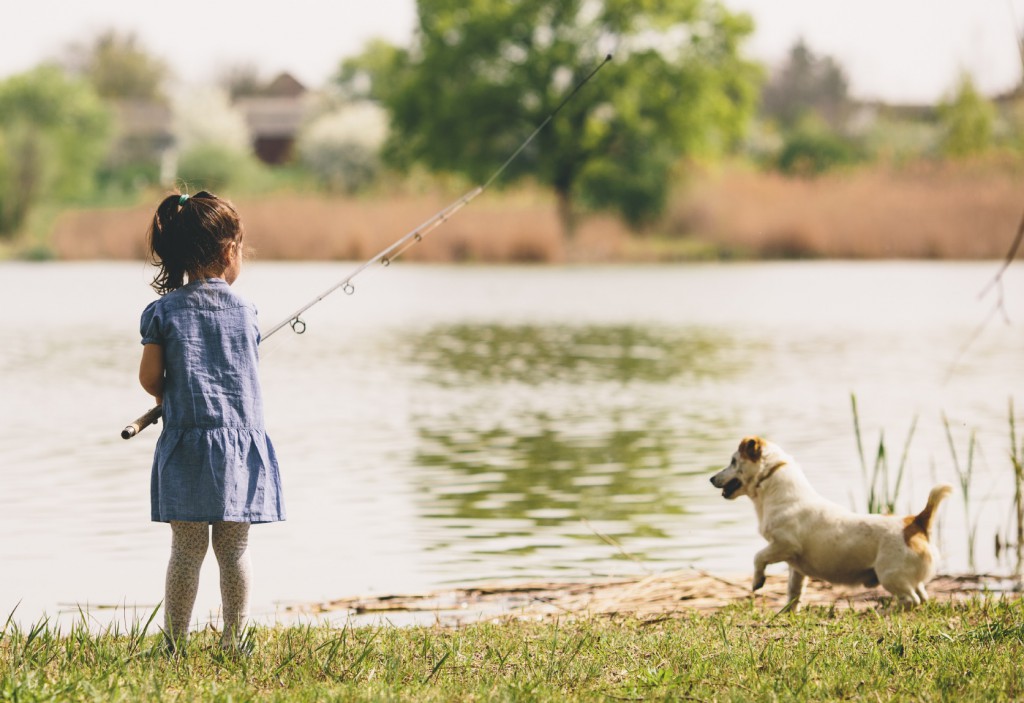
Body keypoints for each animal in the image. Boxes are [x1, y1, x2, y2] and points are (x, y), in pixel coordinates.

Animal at [708, 433, 954, 609]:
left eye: (733, 461)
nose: (711, 478)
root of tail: (915, 522)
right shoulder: (796, 567)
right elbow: (794, 592)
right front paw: (786, 613)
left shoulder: (783, 545)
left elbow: (758, 557)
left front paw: (757, 581)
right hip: (908, 579)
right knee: (922, 597)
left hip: (891, 576)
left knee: (911, 600)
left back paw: (887, 611)